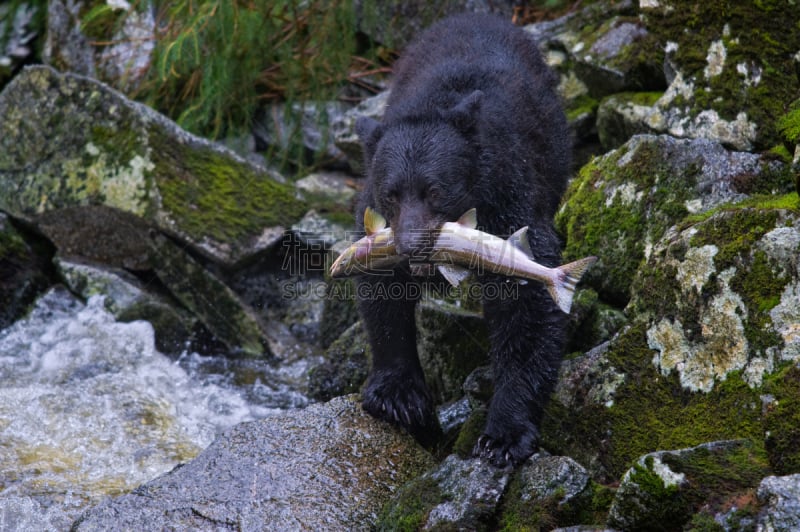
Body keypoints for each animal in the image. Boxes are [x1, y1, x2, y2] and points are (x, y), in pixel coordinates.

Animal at [354, 12, 568, 468]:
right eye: (391, 193)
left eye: (435, 190)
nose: (411, 245)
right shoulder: (375, 220)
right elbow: (381, 294)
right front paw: (399, 397)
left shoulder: (509, 200)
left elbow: (525, 302)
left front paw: (504, 434)